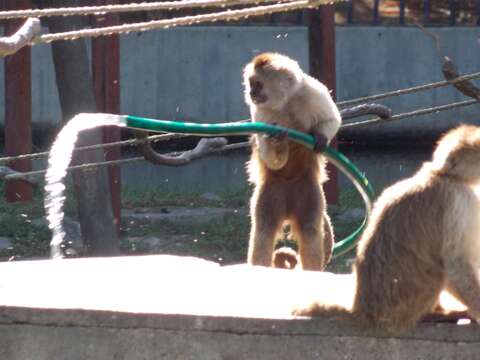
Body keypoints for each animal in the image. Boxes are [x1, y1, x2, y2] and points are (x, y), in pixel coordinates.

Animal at [244, 51, 342, 270]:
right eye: (251, 84)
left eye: (258, 85)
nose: (251, 93)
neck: (285, 104)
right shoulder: (260, 113)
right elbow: (269, 156)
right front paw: (280, 145)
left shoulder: (312, 91)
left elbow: (332, 119)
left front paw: (320, 137)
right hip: (273, 191)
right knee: (264, 229)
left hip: (307, 190)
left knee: (309, 229)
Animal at [294, 125, 480, 334]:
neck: (442, 175)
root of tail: (363, 310)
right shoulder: (459, 197)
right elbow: (456, 264)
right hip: (404, 305)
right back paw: (435, 315)